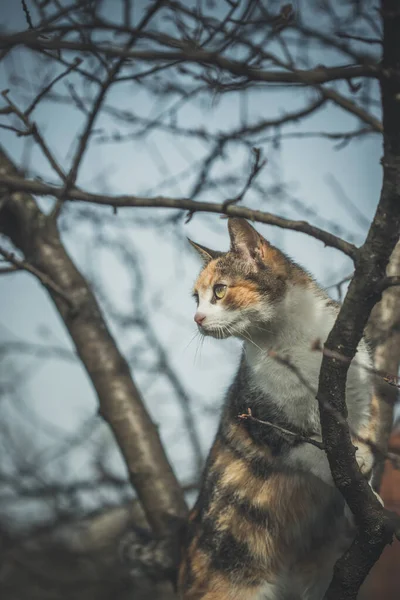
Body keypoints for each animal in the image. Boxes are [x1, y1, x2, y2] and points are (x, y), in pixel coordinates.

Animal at [178, 218, 378, 596]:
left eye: (220, 291)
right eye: (196, 297)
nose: (196, 318)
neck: (292, 340)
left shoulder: (360, 397)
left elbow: (366, 433)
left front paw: (365, 489)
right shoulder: (258, 419)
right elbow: (305, 447)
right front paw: (352, 464)